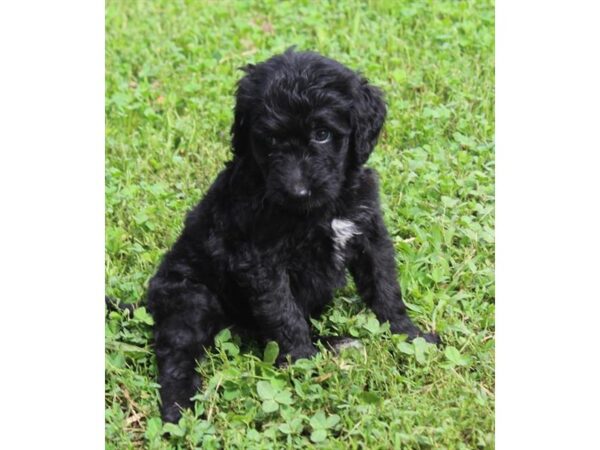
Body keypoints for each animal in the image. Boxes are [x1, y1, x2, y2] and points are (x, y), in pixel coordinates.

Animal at [148, 49, 438, 422]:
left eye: (322, 134)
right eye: (271, 138)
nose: (297, 191)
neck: (319, 210)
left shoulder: (369, 232)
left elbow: (385, 286)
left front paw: (408, 334)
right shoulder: (262, 262)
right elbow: (284, 313)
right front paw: (303, 364)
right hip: (191, 299)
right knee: (176, 354)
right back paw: (178, 409)